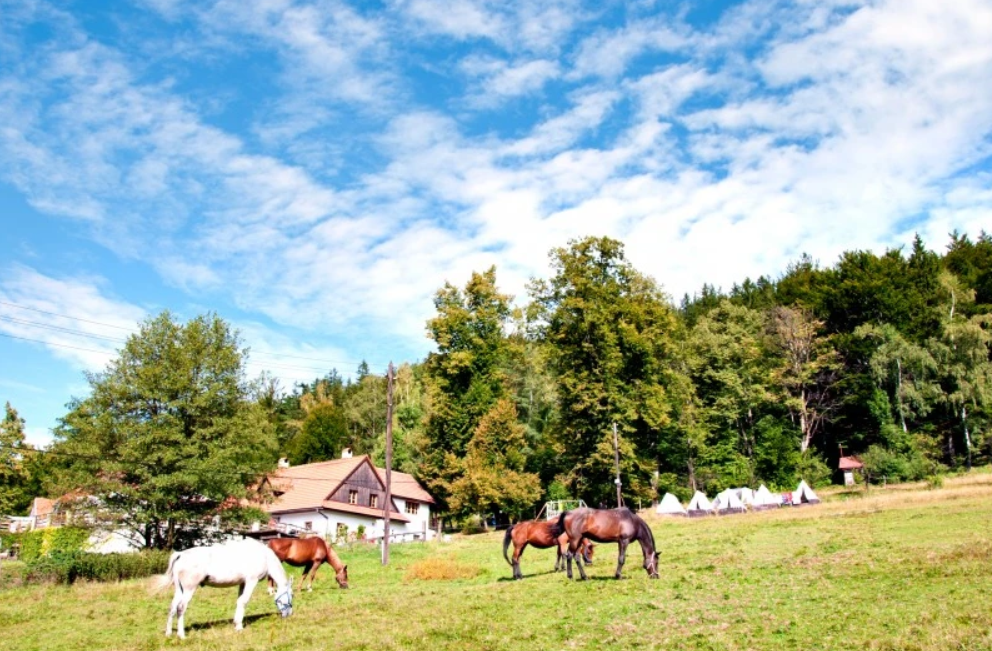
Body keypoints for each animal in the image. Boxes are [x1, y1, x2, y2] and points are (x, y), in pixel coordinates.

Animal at [163, 536, 292, 640]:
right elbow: (244, 601)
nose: (289, 614)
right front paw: (239, 627)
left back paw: (168, 633)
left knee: (172, 607)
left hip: (179, 590)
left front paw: (236, 624)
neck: (264, 556)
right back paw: (181, 635)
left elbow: (239, 601)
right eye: (292, 595)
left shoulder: (243, 583)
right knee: (180, 608)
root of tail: (180, 554)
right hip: (189, 589)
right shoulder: (251, 581)